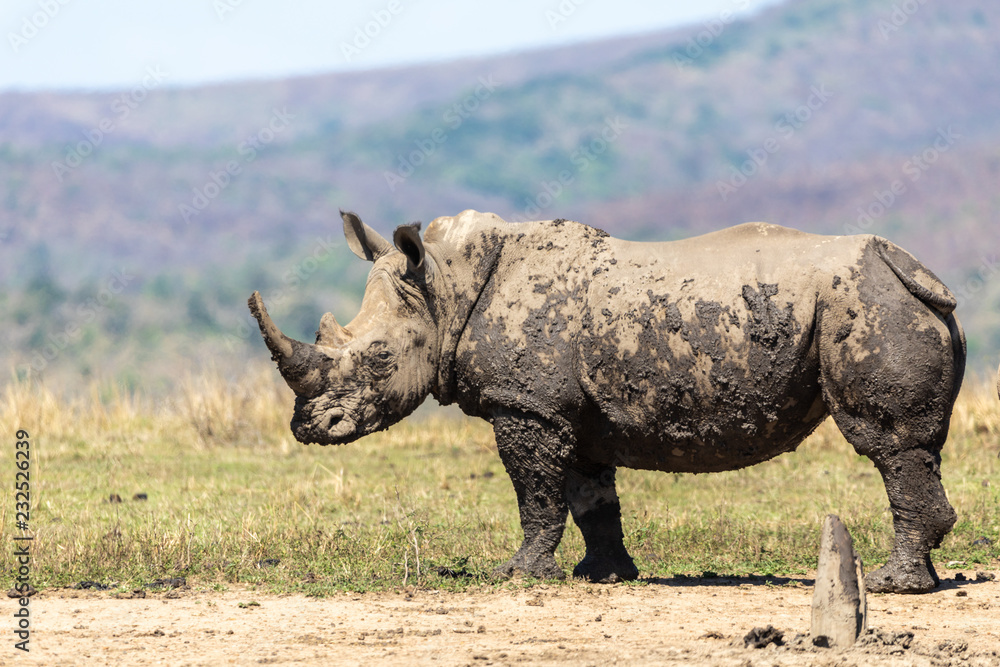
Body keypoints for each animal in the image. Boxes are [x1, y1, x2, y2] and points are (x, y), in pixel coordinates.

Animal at [249, 209, 966, 594]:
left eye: (379, 357)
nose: (309, 427)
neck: (445, 289)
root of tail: (911, 268)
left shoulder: (526, 406)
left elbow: (536, 492)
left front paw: (520, 573)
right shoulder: (570, 411)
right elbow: (590, 495)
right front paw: (604, 574)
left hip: (867, 304)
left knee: (888, 446)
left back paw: (892, 584)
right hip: (882, 301)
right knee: (914, 450)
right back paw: (916, 578)